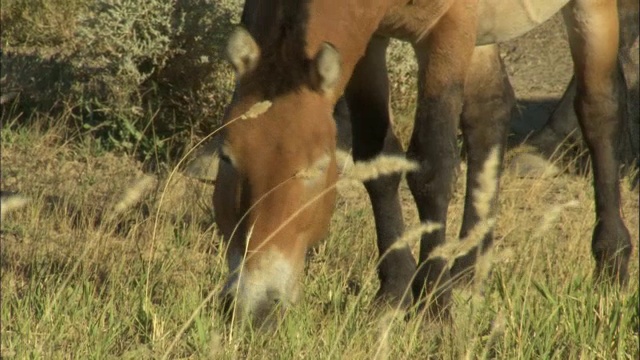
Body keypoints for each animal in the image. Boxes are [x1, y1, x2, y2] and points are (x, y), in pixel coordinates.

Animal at [212, 0, 632, 326]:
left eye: (316, 168)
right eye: (227, 158)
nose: (256, 307)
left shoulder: (446, 32)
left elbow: (433, 168)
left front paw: (433, 307)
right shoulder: (371, 42)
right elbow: (377, 162)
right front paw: (393, 294)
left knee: (599, 109)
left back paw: (611, 261)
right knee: (489, 116)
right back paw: (467, 274)